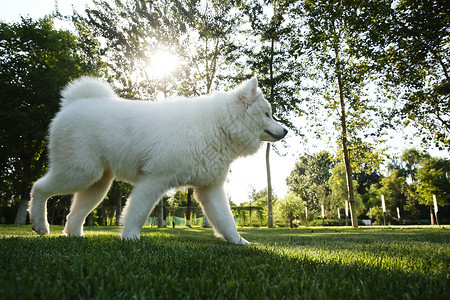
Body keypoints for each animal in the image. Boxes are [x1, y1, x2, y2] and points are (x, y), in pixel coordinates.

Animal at [29, 76, 288, 245]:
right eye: (267, 114)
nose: (285, 130)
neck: (219, 126)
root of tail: (74, 104)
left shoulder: (210, 189)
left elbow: (226, 220)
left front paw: (239, 242)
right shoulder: (153, 180)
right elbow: (137, 213)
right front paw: (130, 238)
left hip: (97, 182)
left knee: (74, 214)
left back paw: (74, 235)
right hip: (79, 172)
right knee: (38, 188)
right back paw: (40, 225)